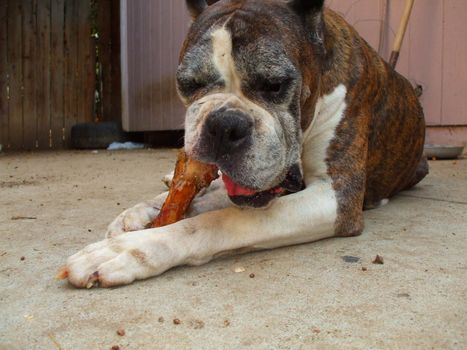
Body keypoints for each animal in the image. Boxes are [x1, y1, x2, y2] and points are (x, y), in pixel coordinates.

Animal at [64, 0, 430, 288]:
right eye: (189, 84)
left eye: (275, 84)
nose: (223, 125)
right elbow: (197, 196)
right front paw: (138, 214)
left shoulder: (336, 196)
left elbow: (222, 220)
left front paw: (130, 249)